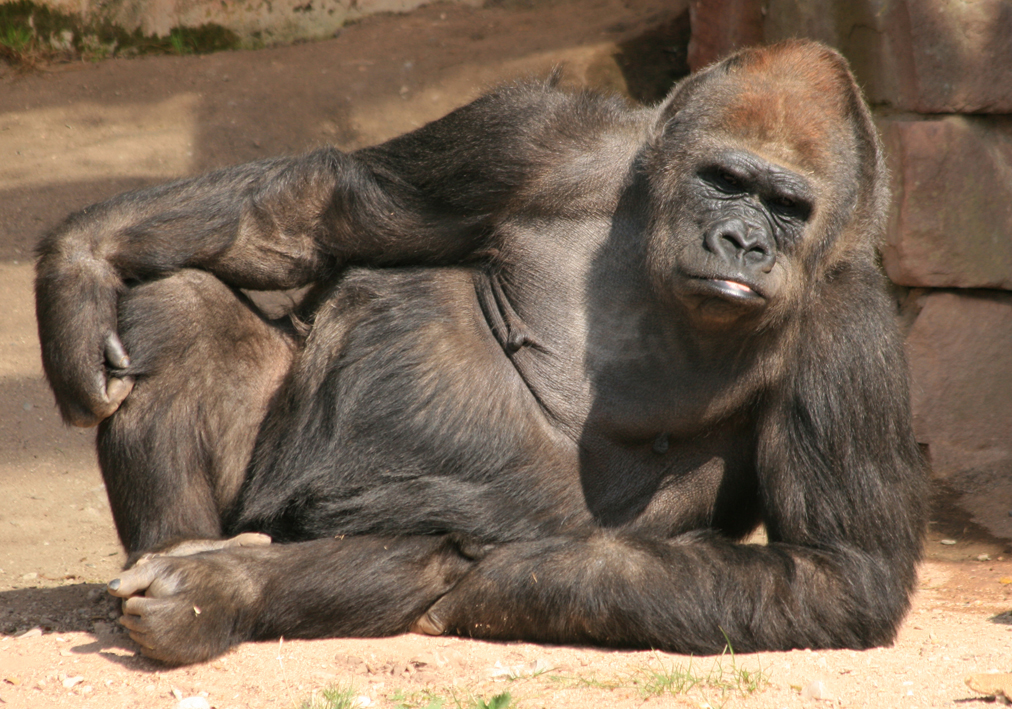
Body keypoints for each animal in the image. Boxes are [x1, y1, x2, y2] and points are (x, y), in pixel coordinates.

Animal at [35, 40, 926, 663]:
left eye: (786, 206)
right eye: (725, 181)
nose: (742, 241)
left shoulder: (851, 334)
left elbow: (839, 573)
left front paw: (499, 576)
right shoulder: (535, 136)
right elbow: (326, 210)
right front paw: (81, 262)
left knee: (416, 547)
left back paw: (220, 589)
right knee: (183, 304)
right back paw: (173, 556)